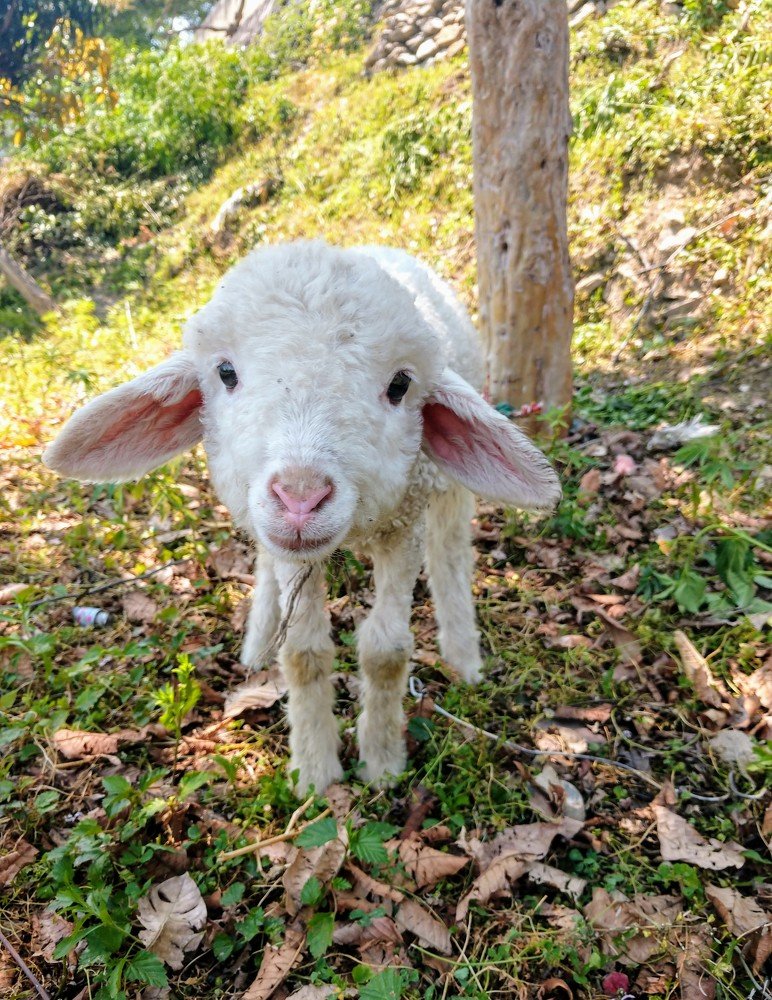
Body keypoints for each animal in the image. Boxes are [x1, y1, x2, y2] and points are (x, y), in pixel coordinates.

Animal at [44, 241, 561, 794]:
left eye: (401, 384)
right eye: (226, 373)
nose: (300, 497)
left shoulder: (404, 528)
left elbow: (386, 651)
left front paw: (381, 760)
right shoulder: (291, 550)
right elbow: (304, 653)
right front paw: (315, 772)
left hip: (444, 489)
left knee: (450, 555)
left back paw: (463, 656)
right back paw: (258, 643)